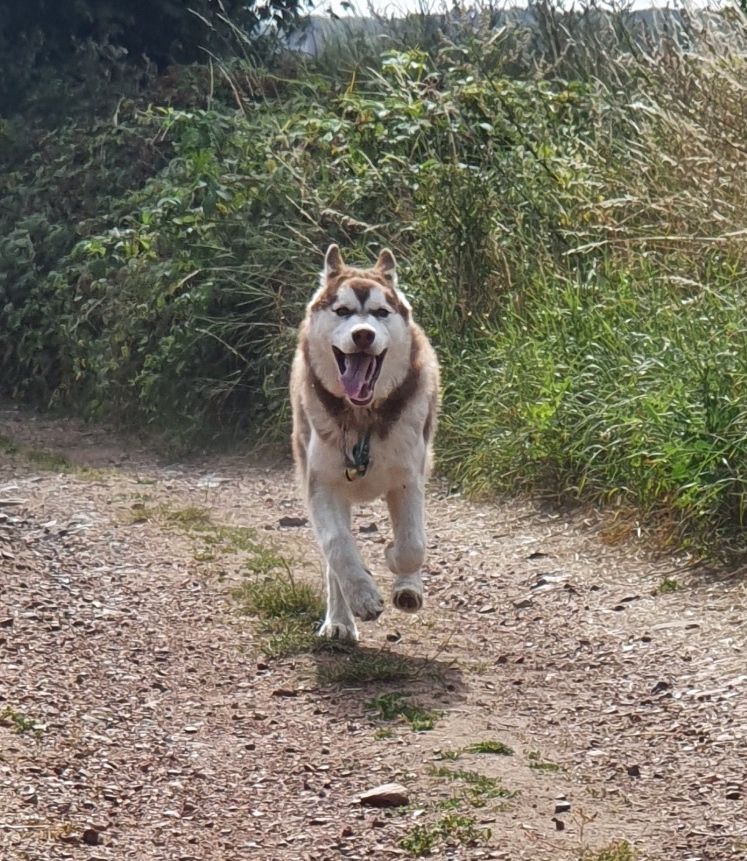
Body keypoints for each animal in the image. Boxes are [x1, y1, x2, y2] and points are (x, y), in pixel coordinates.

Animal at [290, 242, 442, 640]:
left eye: (380, 312)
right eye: (342, 311)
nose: (363, 335)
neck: (363, 421)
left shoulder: (408, 477)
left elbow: (412, 543)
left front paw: (399, 571)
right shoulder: (321, 484)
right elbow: (337, 547)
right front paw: (361, 597)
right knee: (333, 556)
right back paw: (339, 620)